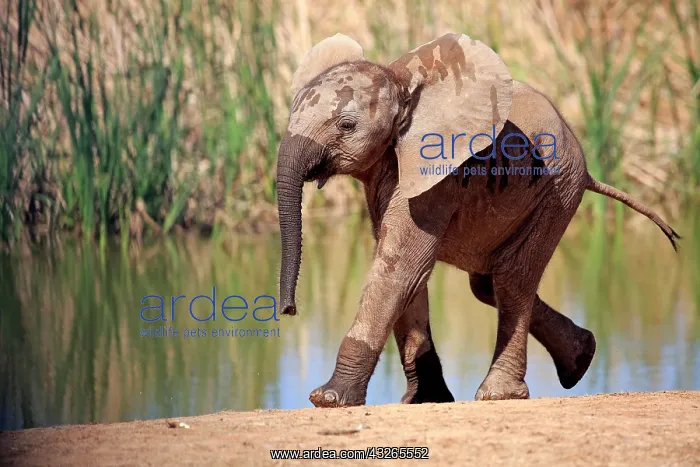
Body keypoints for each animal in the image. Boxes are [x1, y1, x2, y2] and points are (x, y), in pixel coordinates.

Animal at [276, 33, 680, 407]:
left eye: (346, 126)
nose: (289, 310)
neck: (402, 84)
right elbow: (410, 276)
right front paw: (427, 400)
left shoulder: (437, 172)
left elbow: (401, 269)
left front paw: (328, 399)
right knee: (487, 285)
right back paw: (581, 358)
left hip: (558, 192)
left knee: (512, 281)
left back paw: (500, 393)